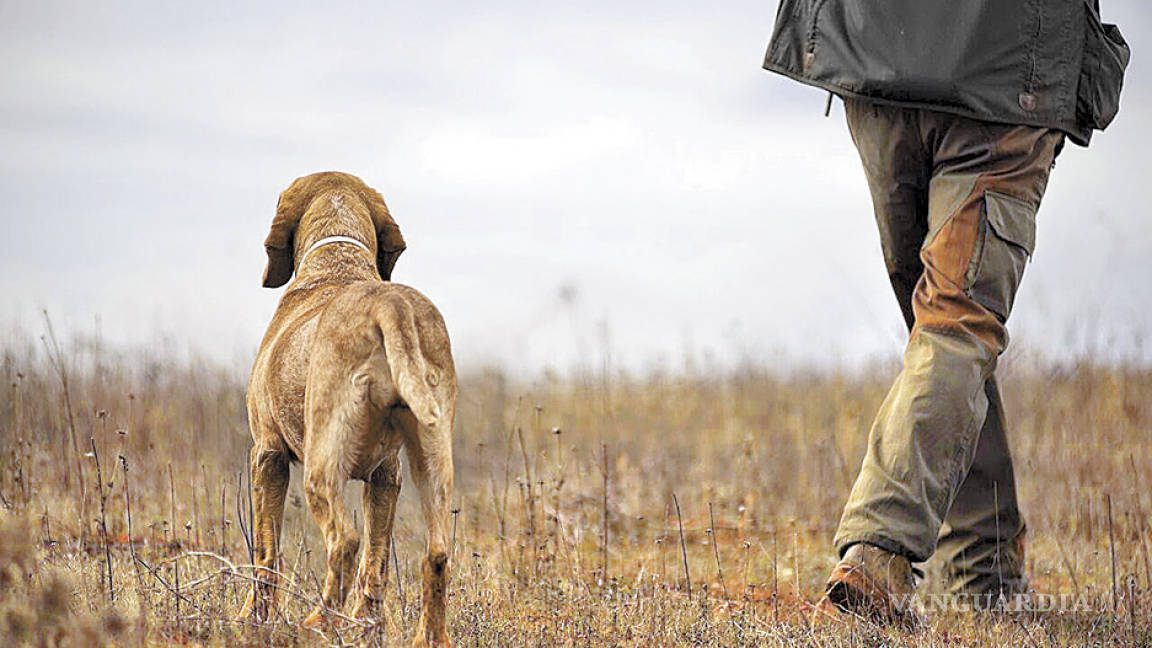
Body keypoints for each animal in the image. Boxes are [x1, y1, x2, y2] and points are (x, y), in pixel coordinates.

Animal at [240, 169, 456, 641]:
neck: (338, 255)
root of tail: (389, 306)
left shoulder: (267, 454)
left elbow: (265, 553)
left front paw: (252, 619)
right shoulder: (386, 475)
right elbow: (377, 563)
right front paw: (369, 625)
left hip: (319, 469)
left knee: (344, 540)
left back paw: (317, 622)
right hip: (433, 460)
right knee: (436, 553)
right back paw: (427, 638)